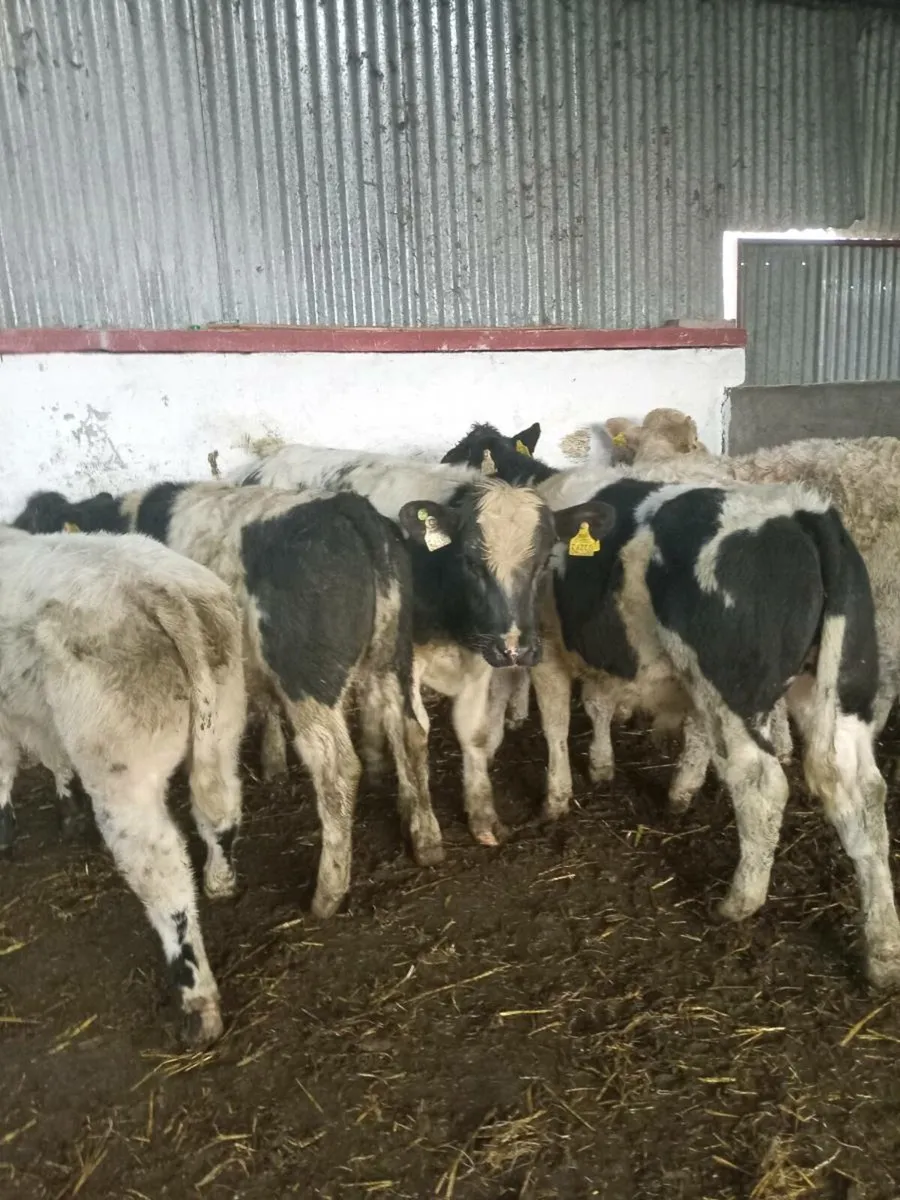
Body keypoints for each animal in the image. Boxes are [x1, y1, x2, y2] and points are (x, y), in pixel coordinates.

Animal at [0, 526, 246, 1046]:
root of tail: (151, 585)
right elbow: (52, 757)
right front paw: (67, 810)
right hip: (225, 724)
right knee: (219, 811)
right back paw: (220, 880)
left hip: (123, 775)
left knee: (164, 874)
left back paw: (197, 1003)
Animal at [13, 482, 447, 920]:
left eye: (35, 524)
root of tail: (345, 507)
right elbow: (265, 707)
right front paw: (273, 762)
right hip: (394, 656)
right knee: (411, 729)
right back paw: (425, 838)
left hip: (307, 680)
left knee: (336, 769)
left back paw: (327, 892)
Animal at [227, 443, 613, 846]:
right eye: (470, 560)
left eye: (543, 560)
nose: (516, 649)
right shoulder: (408, 660)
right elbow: (415, 734)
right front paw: (417, 817)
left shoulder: (481, 655)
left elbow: (473, 731)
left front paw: (482, 817)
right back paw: (274, 759)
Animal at [440, 422, 900, 988]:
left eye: (460, 453)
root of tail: (803, 512)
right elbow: (598, 704)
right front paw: (608, 768)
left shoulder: (549, 646)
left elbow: (555, 722)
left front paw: (556, 797)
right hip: (832, 690)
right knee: (861, 794)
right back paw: (883, 949)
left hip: (733, 691)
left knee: (763, 787)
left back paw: (739, 901)